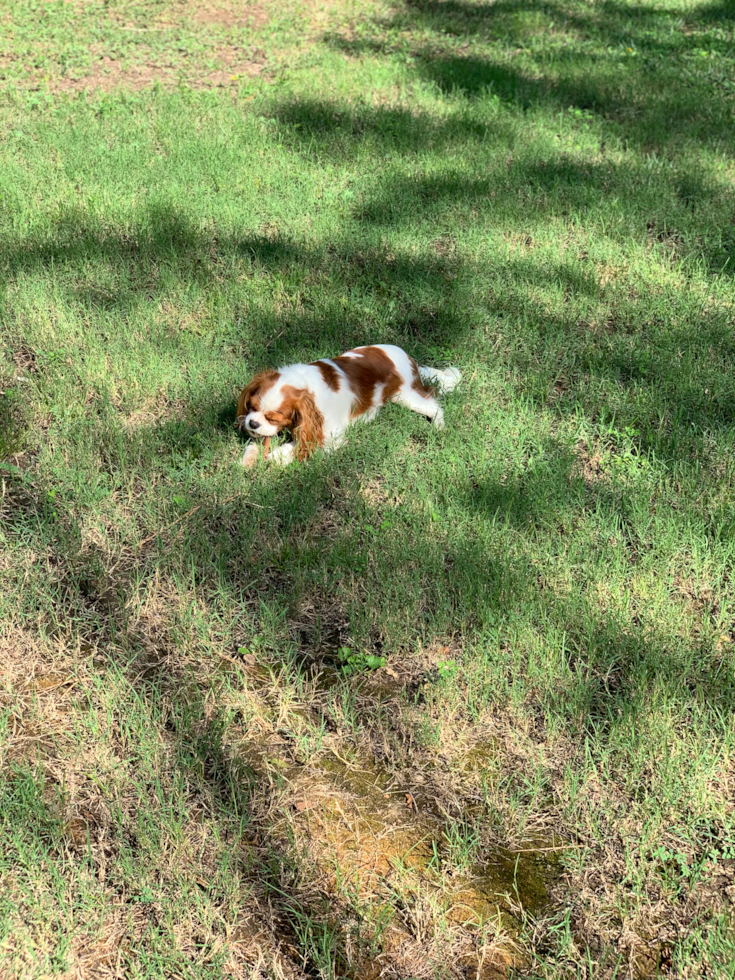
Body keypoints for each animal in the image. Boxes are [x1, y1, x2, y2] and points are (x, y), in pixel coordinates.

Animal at [236, 344, 460, 468]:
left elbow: (300, 446)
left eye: (273, 417)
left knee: (433, 405)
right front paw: (251, 455)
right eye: (251, 407)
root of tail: (410, 358)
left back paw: (439, 427)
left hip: (404, 395)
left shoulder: (331, 435)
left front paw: (276, 457)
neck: (305, 387)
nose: (252, 423)